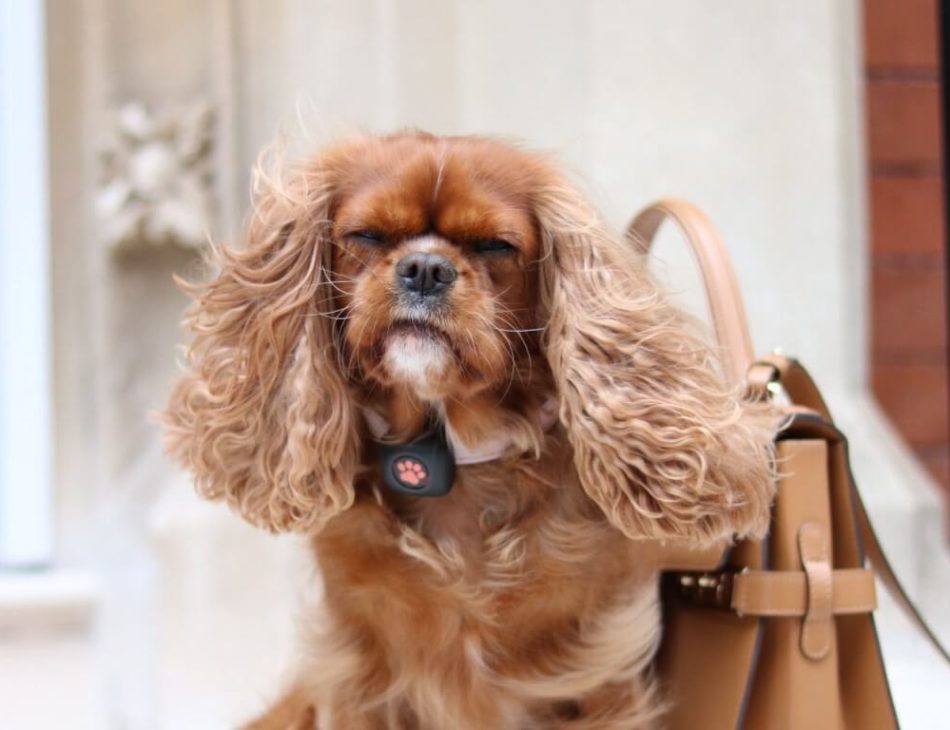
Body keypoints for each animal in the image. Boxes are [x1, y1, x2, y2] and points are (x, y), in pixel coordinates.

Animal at [162, 132, 772, 728]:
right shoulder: (359, 680)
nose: (426, 268)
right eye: (367, 235)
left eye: (495, 246)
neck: (452, 451)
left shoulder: (596, 677)